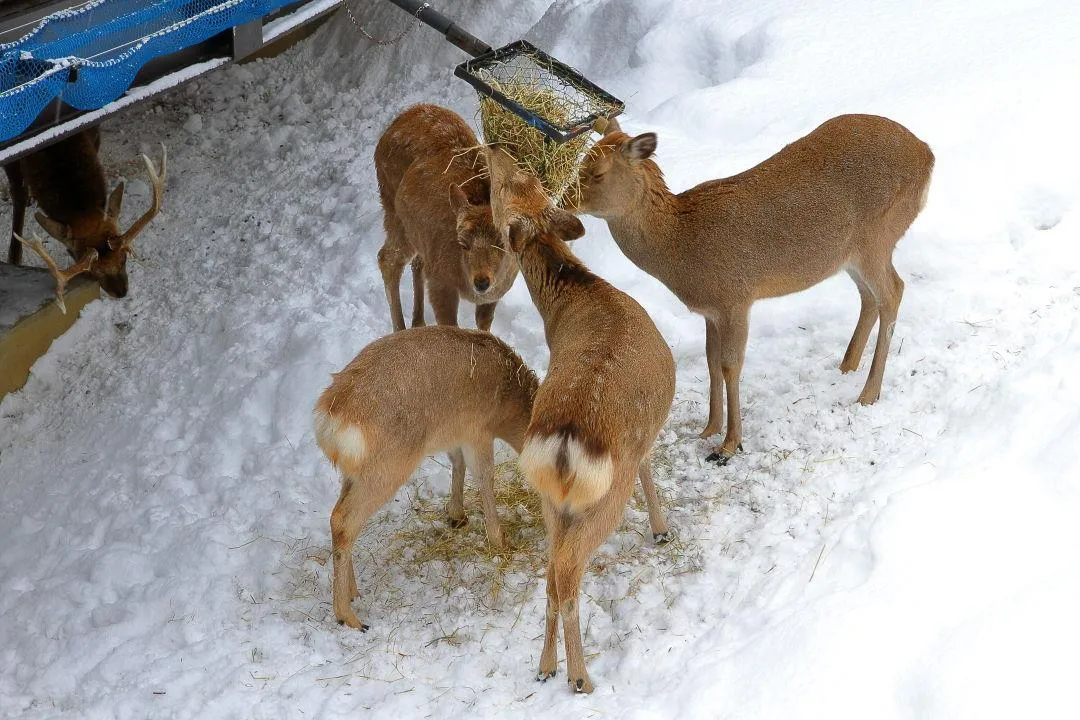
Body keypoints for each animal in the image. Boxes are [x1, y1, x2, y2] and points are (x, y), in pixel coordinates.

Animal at [313, 325, 540, 630]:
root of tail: (330, 420)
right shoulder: (477, 431)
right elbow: (484, 477)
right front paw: (500, 541)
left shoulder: (455, 435)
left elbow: (458, 464)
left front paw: (457, 516)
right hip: (386, 470)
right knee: (343, 520)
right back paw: (349, 618)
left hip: (354, 474)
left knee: (339, 515)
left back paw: (353, 592)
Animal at [375, 102, 518, 334]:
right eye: (463, 243)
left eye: (501, 243)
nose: (481, 282)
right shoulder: (439, 281)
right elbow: (450, 324)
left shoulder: (498, 290)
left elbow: (484, 320)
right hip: (394, 210)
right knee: (387, 258)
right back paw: (401, 329)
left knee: (416, 261)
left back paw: (418, 322)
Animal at [488, 144, 673, 690]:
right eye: (501, 188)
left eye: (526, 178)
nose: (494, 148)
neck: (581, 292)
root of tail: (564, 444)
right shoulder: (642, 439)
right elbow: (650, 464)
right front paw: (662, 528)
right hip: (604, 493)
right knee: (567, 571)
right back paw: (580, 677)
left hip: (550, 498)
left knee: (551, 572)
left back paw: (546, 666)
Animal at [570, 112, 933, 462]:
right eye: (582, 161)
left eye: (598, 172)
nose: (565, 200)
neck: (680, 245)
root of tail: (927, 154)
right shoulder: (711, 311)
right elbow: (711, 361)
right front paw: (708, 428)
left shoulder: (736, 299)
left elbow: (730, 366)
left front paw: (729, 445)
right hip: (849, 255)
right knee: (869, 297)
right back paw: (846, 367)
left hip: (878, 235)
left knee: (894, 291)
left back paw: (868, 393)